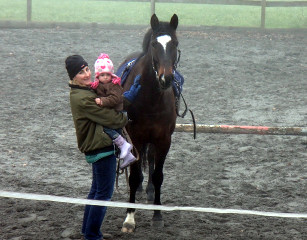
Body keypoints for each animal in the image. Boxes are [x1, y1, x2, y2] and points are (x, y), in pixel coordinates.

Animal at [118, 13, 180, 232]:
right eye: (154, 44)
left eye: (175, 43)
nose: (166, 78)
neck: (151, 97)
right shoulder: (135, 138)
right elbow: (134, 176)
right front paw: (129, 217)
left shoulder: (164, 139)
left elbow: (159, 175)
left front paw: (157, 214)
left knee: (151, 158)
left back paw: (150, 189)